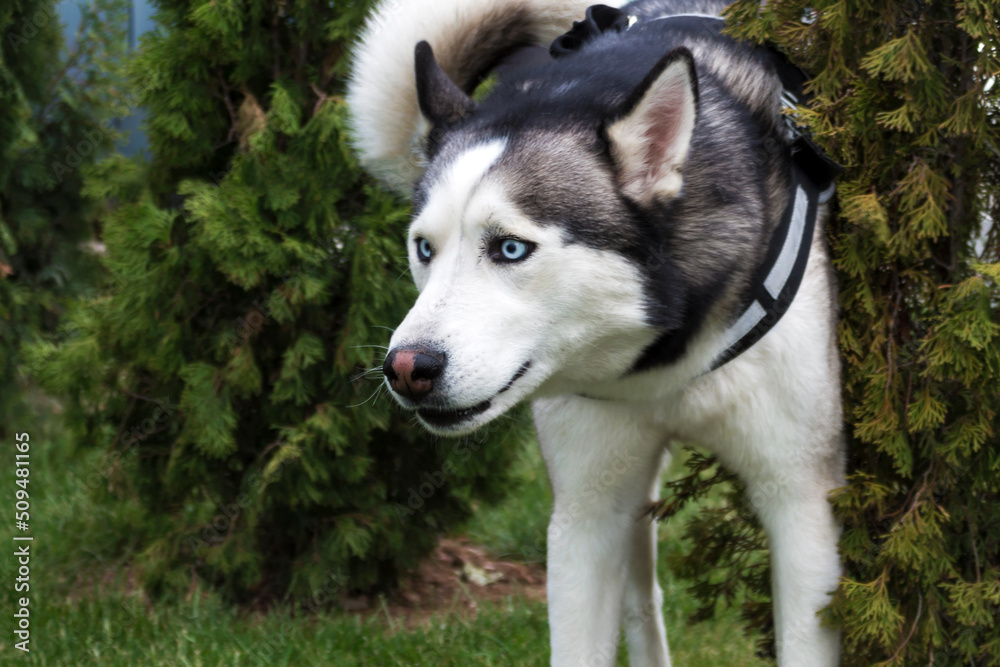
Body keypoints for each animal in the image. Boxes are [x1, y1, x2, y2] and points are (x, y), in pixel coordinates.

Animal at [350, 0, 844, 664]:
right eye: (425, 248)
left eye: (510, 248)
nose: (406, 369)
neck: (662, 361)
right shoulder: (585, 512)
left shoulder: (802, 504)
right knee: (641, 596)